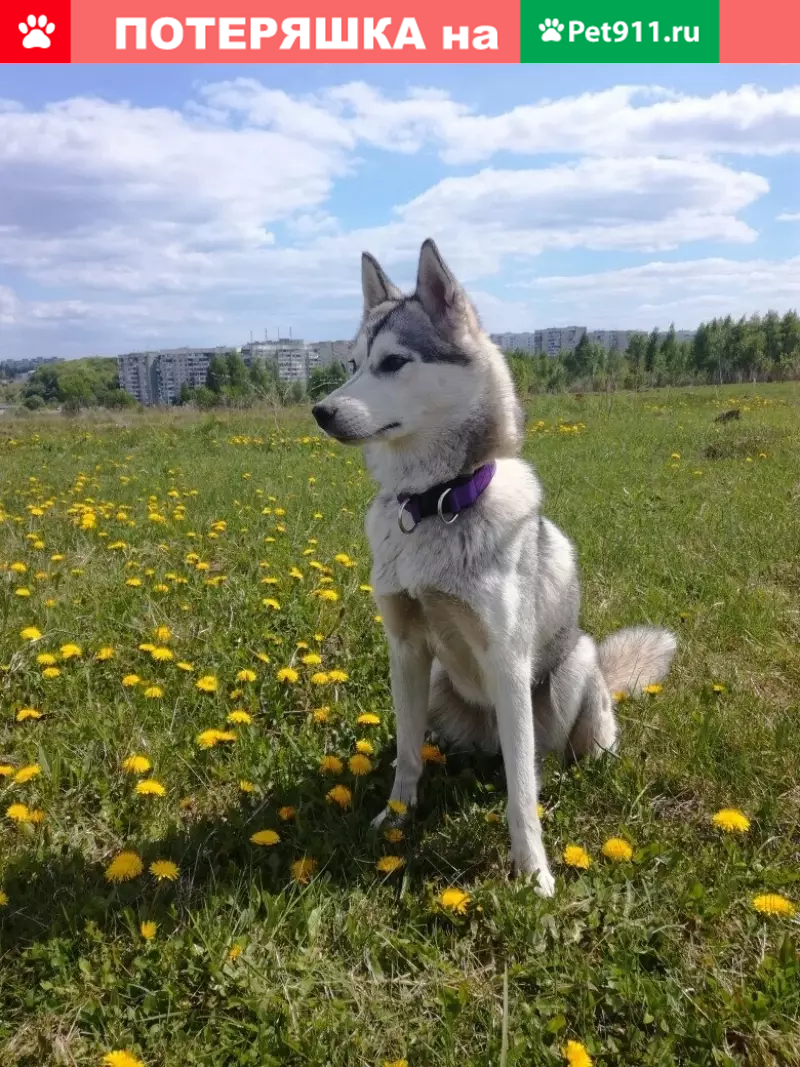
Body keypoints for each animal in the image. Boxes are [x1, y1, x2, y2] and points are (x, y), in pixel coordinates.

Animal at [313, 240, 678, 892]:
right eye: (353, 362)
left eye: (393, 362)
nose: (319, 410)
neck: (433, 504)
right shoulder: (406, 648)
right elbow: (406, 756)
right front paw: (395, 818)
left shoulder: (507, 659)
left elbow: (521, 792)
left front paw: (533, 873)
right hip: (439, 684)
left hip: (573, 668)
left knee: (546, 757)